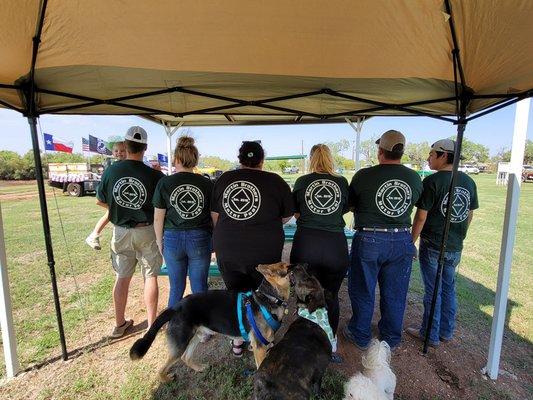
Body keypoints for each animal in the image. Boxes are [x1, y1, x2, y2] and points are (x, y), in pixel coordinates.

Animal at [130, 262, 296, 382]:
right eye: (285, 267)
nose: (296, 264)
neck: (269, 297)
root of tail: (175, 307)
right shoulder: (260, 346)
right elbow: (260, 366)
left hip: (196, 336)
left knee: (185, 357)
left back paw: (199, 368)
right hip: (180, 344)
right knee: (162, 369)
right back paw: (166, 379)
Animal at [252, 266, 330, 400]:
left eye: (308, 278)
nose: (298, 266)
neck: (312, 317)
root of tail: (266, 386)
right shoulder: (320, 372)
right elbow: (318, 387)